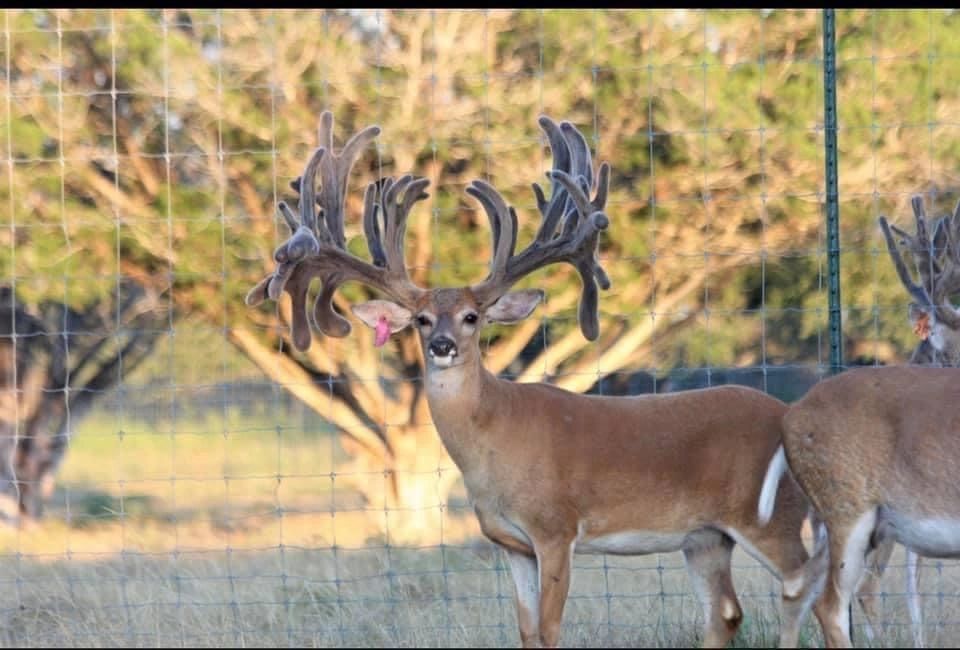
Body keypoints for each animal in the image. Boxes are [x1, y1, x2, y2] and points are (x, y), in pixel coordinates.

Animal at [245, 111, 831, 648]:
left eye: (472, 317)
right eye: (422, 319)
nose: (442, 347)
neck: (495, 438)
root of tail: (793, 416)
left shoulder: (555, 527)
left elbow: (549, 630)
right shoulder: (512, 544)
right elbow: (527, 631)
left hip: (769, 515)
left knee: (812, 592)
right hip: (704, 537)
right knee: (727, 613)